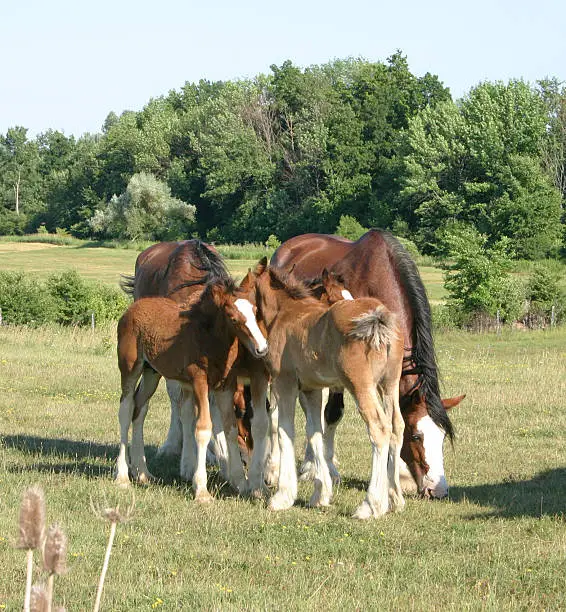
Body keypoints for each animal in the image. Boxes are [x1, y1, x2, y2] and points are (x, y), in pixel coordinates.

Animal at [254, 262, 408, 516]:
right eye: (335, 297)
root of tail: (379, 319)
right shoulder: (310, 388)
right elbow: (312, 430)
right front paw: (318, 485)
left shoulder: (285, 383)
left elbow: (287, 427)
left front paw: (283, 488)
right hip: (388, 384)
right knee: (396, 426)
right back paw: (394, 497)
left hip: (361, 386)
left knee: (379, 428)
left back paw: (371, 504)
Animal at [272, 230, 466, 498]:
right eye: (416, 436)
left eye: (442, 436)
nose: (438, 490)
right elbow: (333, 414)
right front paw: (331, 471)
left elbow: (391, 420)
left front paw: (398, 476)